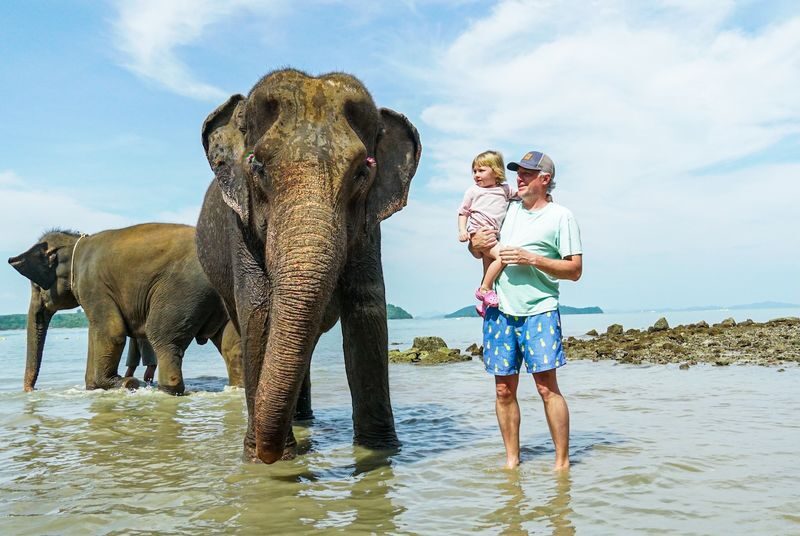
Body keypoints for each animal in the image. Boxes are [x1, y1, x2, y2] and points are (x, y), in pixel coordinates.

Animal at [8, 223, 243, 394]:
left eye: (36, 286)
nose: (31, 391)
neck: (76, 243)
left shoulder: (93, 284)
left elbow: (112, 332)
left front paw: (125, 383)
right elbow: (95, 333)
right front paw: (93, 387)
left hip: (183, 289)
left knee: (163, 337)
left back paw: (166, 389)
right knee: (231, 345)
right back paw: (236, 387)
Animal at [196, 68, 421, 464]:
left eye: (362, 172)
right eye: (257, 166)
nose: (266, 452)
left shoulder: (370, 226)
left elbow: (367, 312)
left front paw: (381, 450)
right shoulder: (238, 223)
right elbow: (259, 310)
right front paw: (263, 462)